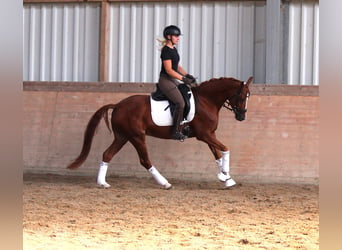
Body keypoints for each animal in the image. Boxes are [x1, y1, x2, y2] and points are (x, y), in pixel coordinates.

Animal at [67, 76, 252, 189]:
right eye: (242, 97)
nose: (242, 116)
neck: (207, 101)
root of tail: (118, 105)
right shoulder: (205, 135)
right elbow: (226, 149)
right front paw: (225, 176)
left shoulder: (209, 135)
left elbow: (218, 155)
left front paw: (226, 178)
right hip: (137, 136)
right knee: (144, 160)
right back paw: (164, 183)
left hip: (123, 137)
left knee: (107, 154)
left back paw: (102, 183)